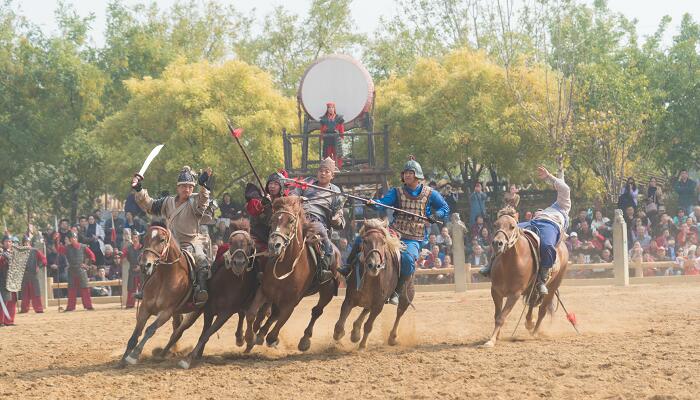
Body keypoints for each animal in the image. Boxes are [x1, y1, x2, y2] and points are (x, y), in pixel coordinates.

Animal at [119, 222, 193, 366]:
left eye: (162, 239)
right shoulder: (144, 308)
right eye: (144, 239)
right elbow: (136, 333)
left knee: (179, 331)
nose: (145, 265)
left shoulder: (166, 312)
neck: (165, 277)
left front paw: (134, 355)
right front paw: (123, 359)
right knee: (177, 329)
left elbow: (150, 329)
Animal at [154, 219, 262, 368]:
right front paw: (191, 354)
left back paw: (240, 338)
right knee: (181, 329)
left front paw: (188, 359)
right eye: (231, 242)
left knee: (241, 315)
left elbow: (206, 334)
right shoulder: (208, 310)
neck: (228, 284)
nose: (238, 263)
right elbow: (196, 331)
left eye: (249, 243)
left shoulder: (225, 314)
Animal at [242, 197, 338, 354]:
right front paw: (250, 338)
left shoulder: (292, 302)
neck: (286, 267)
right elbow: (251, 314)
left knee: (317, 311)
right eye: (272, 220)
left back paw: (304, 340)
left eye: (291, 221)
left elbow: (277, 328)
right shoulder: (264, 291)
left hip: (327, 291)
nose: (274, 245)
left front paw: (268, 339)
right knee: (272, 314)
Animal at [332, 220, 412, 348]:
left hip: (406, 296)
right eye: (365, 241)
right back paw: (355, 331)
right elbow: (339, 325)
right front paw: (341, 335)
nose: (374, 265)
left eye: (383, 242)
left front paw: (362, 345)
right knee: (365, 310)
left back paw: (392, 337)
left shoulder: (379, 305)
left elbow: (368, 326)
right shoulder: (349, 299)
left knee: (399, 312)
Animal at [482, 208, 568, 348]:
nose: (497, 243)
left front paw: (491, 340)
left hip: (553, 286)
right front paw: (496, 336)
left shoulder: (514, 294)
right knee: (532, 303)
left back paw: (535, 331)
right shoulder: (495, 291)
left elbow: (501, 317)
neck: (508, 265)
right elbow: (497, 315)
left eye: (512, 226)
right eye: (495, 225)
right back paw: (529, 322)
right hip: (533, 289)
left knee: (542, 310)